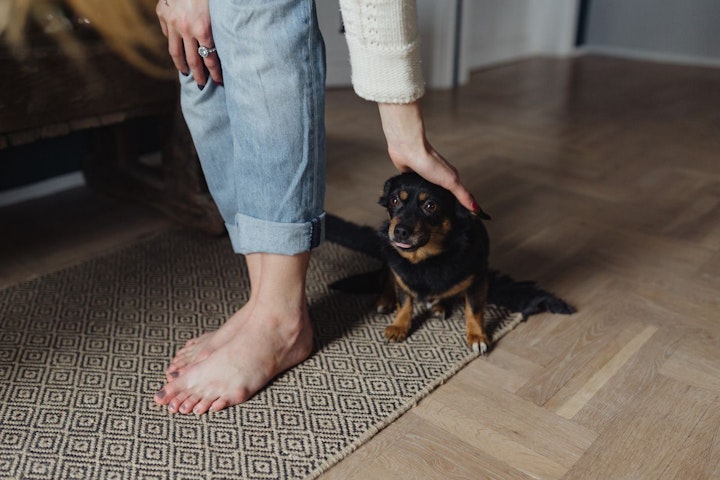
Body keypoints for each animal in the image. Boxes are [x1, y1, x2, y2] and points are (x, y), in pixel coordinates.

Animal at [374, 172, 492, 352]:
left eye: (430, 206)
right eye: (394, 200)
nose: (400, 231)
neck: (424, 259)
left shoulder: (478, 279)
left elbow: (474, 309)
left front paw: (477, 336)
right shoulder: (401, 275)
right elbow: (404, 301)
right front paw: (399, 327)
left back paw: (438, 305)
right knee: (388, 276)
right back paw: (386, 300)